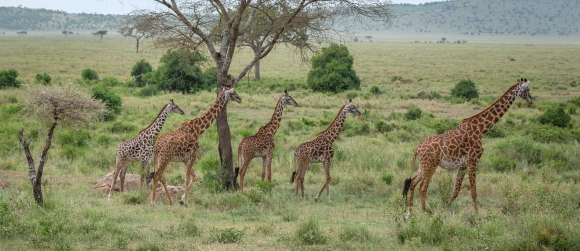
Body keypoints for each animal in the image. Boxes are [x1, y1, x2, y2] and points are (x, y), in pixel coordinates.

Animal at [402, 78, 532, 216]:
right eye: (528, 90)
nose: (531, 101)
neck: (481, 129)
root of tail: (417, 149)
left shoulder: (463, 165)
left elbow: (456, 191)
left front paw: (445, 208)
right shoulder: (473, 160)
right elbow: (473, 191)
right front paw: (477, 215)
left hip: (423, 165)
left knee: (412, 183)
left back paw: (410, 213)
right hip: (431, 165)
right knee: (422, 187)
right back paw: (424, 213)